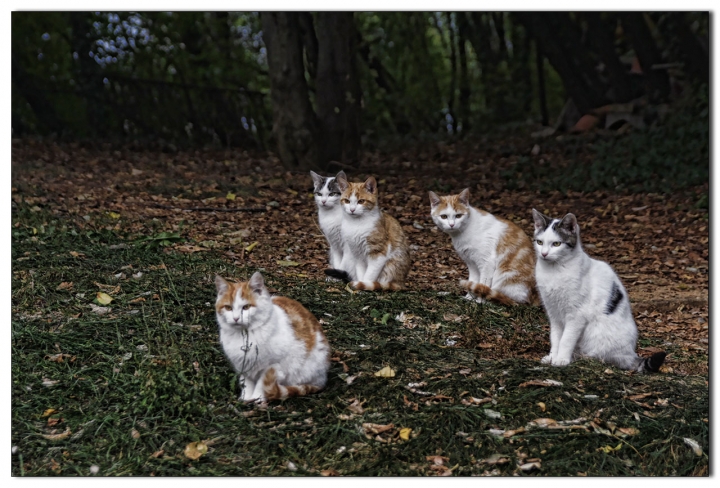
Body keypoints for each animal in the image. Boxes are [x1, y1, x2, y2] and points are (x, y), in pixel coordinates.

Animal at [215, 270, 330, 400]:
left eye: (246, 307)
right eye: (228, 308)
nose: (236, 318)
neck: (245, 335)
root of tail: (323, 380)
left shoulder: (273, 366)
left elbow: (262, 383)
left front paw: (257, 398)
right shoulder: (244, 367)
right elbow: (246, 384)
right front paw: (246, 399)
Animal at [532, 210, 668, 374]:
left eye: (556, 244)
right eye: (540, 242)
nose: (544, 254)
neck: (553, 271)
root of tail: (630, 353)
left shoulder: (576, 315)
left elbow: (566, 339)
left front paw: (561, 359)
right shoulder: (554, 314)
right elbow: (556, 338)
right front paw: (553, 356)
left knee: (601, 357)